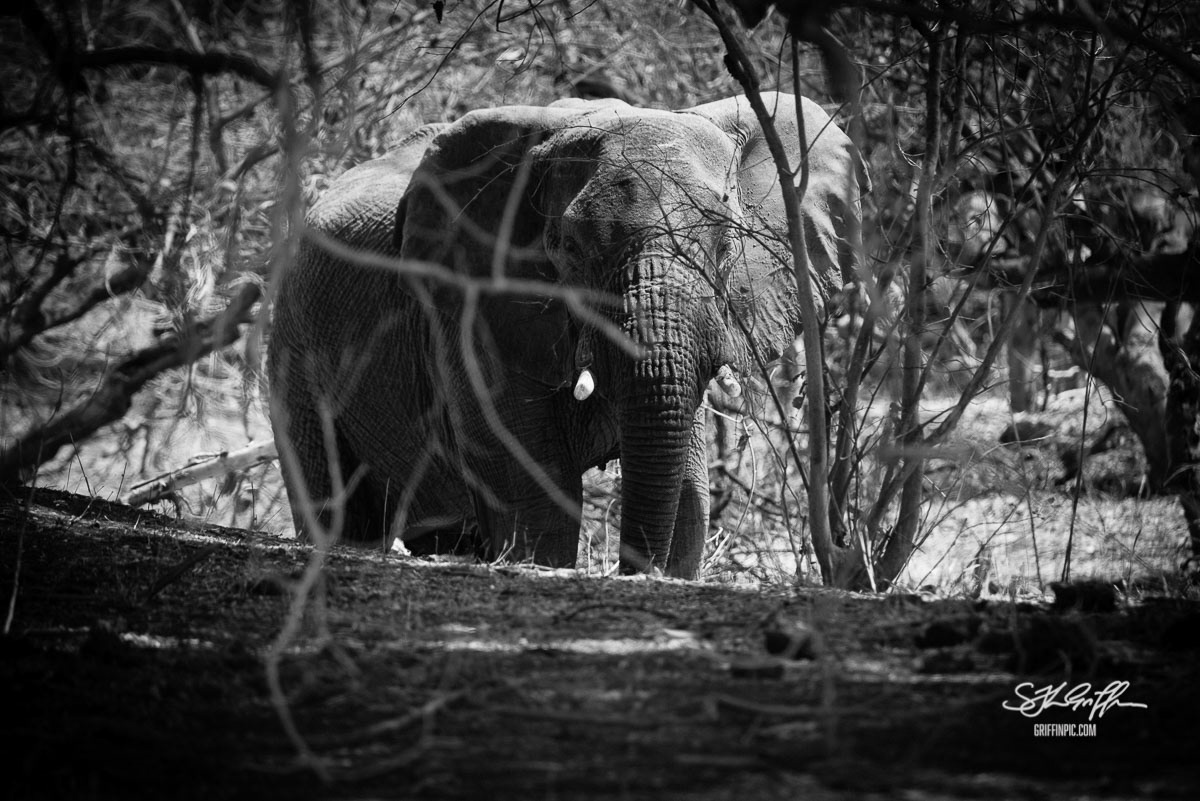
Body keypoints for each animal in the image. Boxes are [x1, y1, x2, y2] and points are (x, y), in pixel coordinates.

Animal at [268, 91, 865, 579]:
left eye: (724, 247)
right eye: (571, 249)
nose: (632, 572)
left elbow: (687, 482)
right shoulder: (471, 302)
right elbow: (532, 484)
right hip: (294, 347)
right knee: (338, 512)